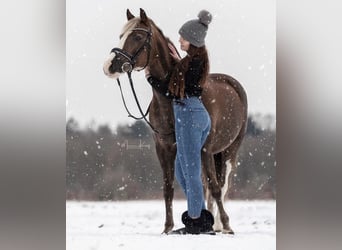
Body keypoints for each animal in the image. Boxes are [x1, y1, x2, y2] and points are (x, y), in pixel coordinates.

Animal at [103, 8, 247, 234]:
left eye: (137, 37)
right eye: (121, 35)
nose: (109, 66)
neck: (170, 99)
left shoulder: (204, 148)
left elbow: (215, 187)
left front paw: (227, 225)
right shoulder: (164, 148)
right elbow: (169, 187)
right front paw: (168, 228)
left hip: (230, 151)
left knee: (221, 185)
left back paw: (219, 225)